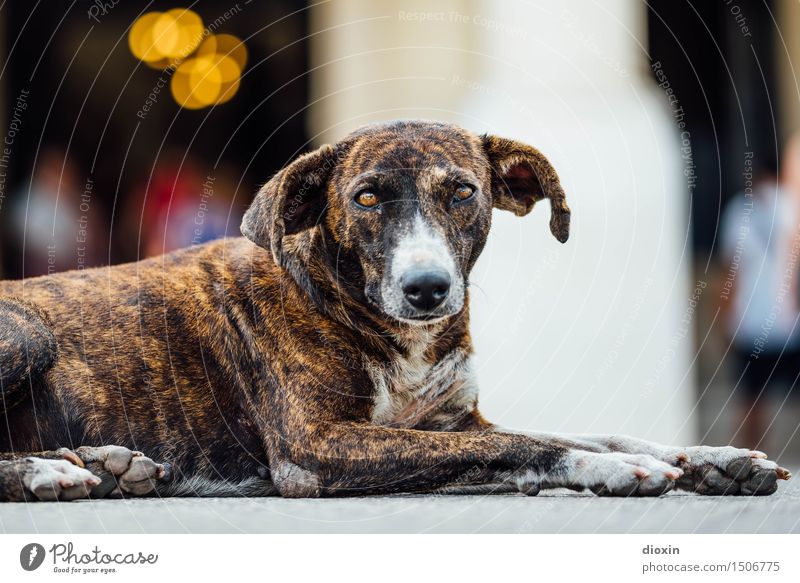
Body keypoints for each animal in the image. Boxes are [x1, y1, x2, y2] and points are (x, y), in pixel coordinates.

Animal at [0, 120, 792, 502]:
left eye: (463, 191)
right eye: (367, 197)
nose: (428, 288)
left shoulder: (455, 422)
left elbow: (583, 430)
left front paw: (712, 459)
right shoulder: (317, 445)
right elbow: (526, 445)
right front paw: (612, 470)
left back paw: (106, 464)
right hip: (28, 333)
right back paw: (50, 472)